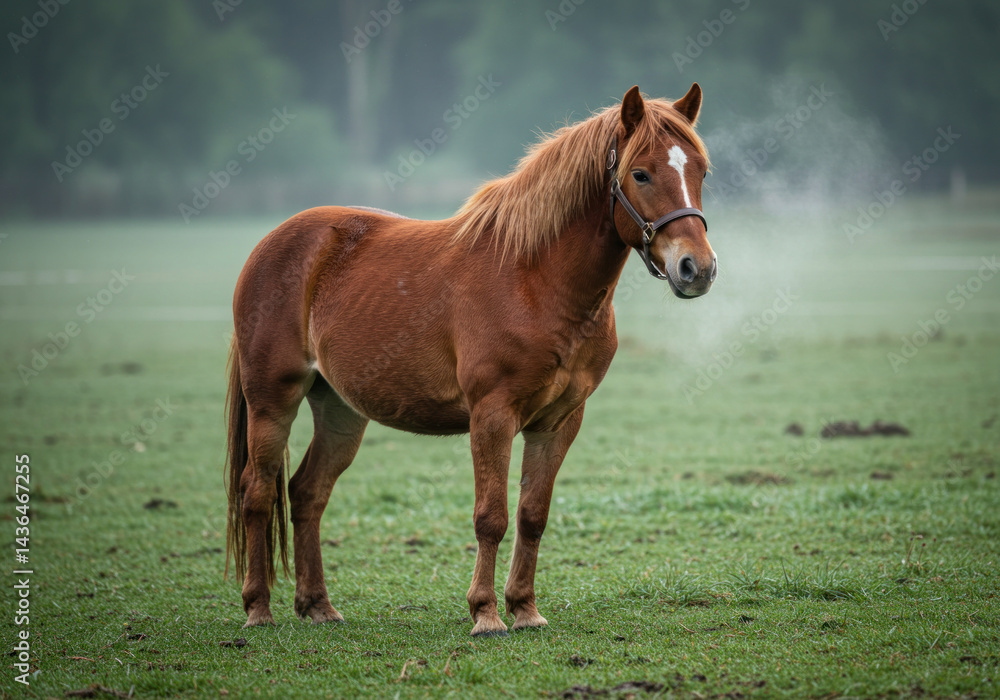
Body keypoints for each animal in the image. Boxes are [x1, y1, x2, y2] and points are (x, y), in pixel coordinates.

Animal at [225, 84, 717, 635]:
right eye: (641, 173)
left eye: (700, 171)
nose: (696, 269)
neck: (535, 279)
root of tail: (271, 244)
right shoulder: (492, 416)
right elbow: (491, 516)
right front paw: (485, 614)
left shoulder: (558, 422)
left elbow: (532, 515)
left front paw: (525, 609)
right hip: (272, 402)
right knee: (257, 492)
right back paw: (258, 609)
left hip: (339, 409)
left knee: (307, 492)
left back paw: (318, 605)